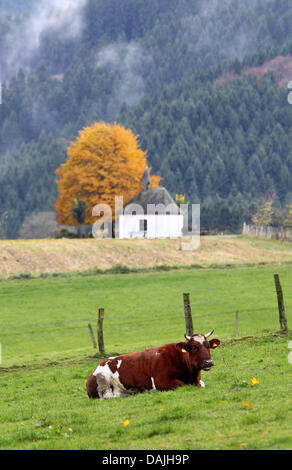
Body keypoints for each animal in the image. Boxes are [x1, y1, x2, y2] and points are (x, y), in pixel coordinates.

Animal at [85, 328, 220, 398]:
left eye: (208, 346)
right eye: (194, 347)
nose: (208, 362)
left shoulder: (198, 381)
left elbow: (202, 384)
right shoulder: (162, 382)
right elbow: (183, 385)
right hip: (103, 385)